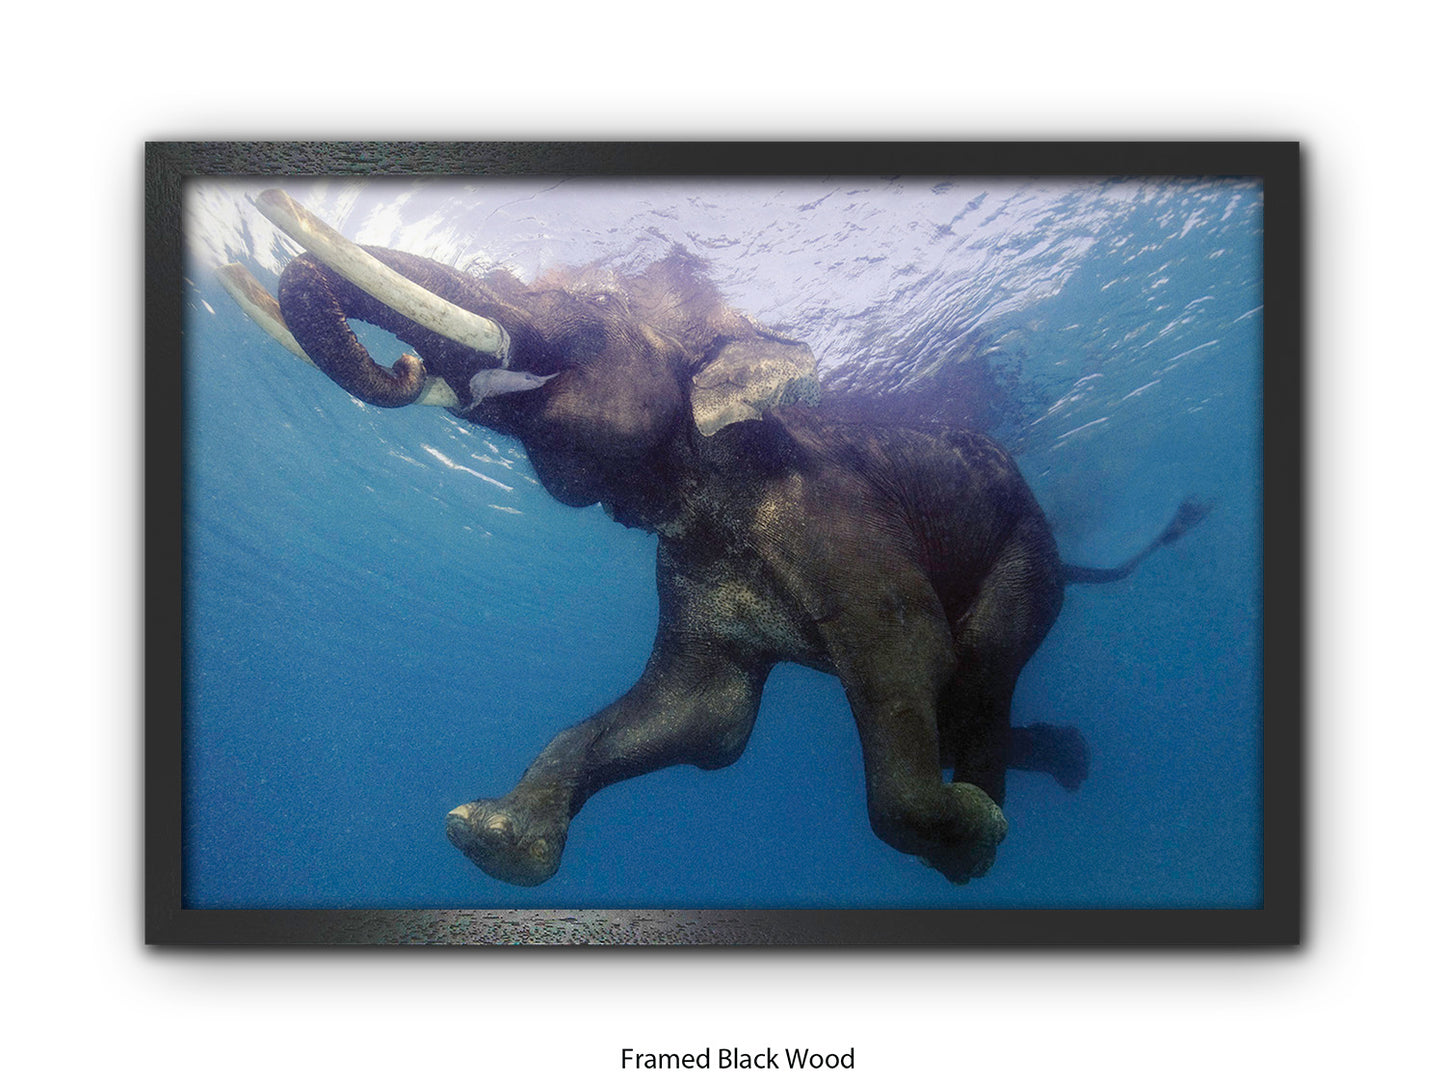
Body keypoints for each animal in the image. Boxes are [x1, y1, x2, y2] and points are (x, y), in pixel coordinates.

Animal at [238, 191, 1207, 887]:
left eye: (594, 304)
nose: (407, 364)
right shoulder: (688, 569)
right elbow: (705, 716)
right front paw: (487, 835)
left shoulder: (838, 519)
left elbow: (910, 658)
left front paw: (967, 832)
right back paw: (1054, 764)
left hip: (1025, 554)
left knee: (977, 666)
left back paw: (988, 820)